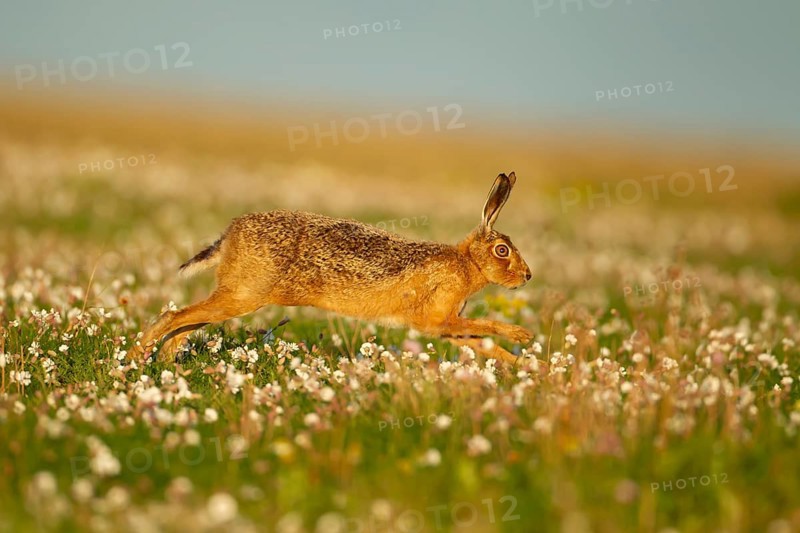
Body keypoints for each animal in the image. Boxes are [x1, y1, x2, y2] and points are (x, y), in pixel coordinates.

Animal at [133, 172, 533, 363]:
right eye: (502, 250)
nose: (527, 277)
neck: (468, 264)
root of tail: (230, 234)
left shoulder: (444, 326)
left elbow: (481, 343)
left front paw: (523, 367)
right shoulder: (437, 319)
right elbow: (484, 328)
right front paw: (522, 337)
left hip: (236, 296)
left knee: (186, 322)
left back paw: (166, 362)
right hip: (244, 295)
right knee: (173, 317)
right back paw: (140, 357)